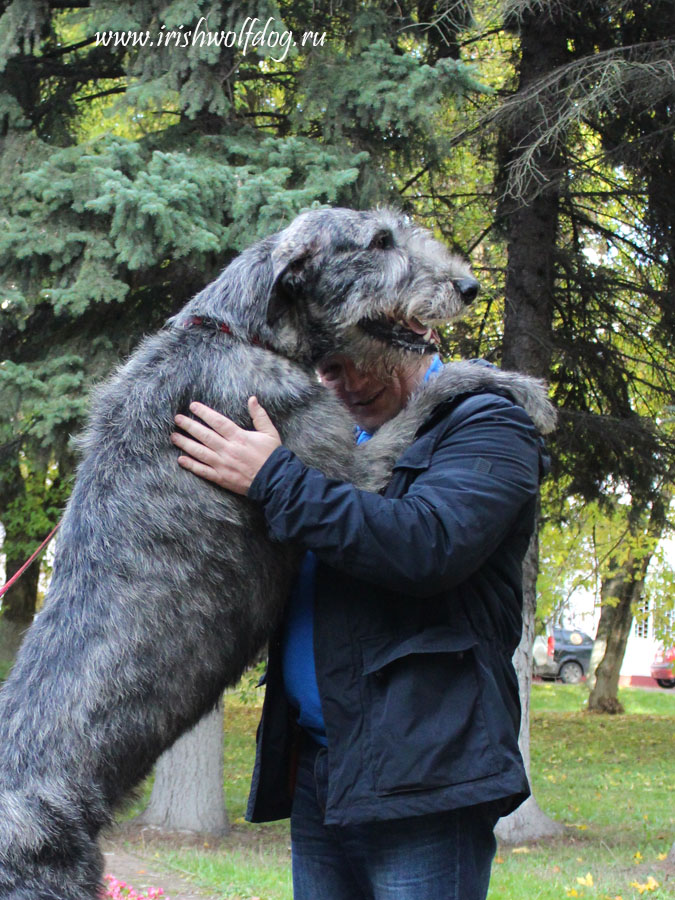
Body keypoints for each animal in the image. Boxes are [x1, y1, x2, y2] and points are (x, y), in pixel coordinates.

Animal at [0, 207, 556, 896]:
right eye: (379, 242)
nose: (470, 286)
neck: (240, 333)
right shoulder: (348, 465)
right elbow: (434, 390)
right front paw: (516, 386)